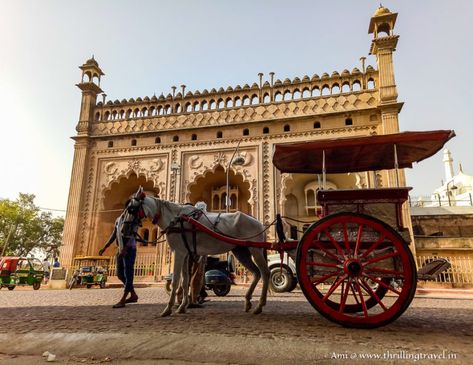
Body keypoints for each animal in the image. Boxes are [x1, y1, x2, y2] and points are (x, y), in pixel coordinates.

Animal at [121, 188, 270, 316]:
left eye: (131, 209)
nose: (123, 230)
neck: (175, 219)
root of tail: (260, 223)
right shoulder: (186, 253)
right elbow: (185, 280)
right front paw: (182, 306)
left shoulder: (179, 251)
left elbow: (175, 280)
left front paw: (168, 309)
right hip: (241, 250)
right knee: (256, 272)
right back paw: (248, 301)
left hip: (255, 248)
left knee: (265, 272)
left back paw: (260, 305)